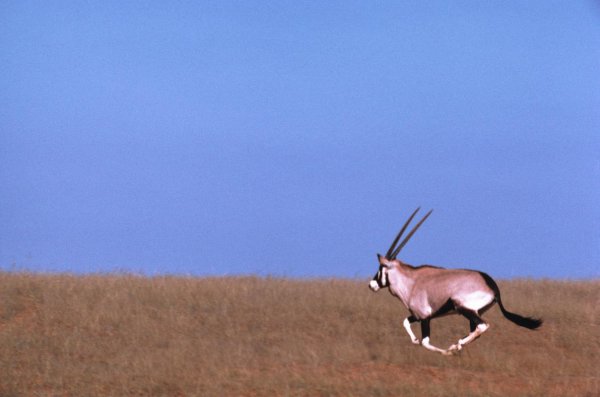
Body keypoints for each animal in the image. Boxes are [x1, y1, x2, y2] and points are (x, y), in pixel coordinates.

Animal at [370, 209, 544, 354]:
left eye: (381, 268)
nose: (371, 285)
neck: (411, 281)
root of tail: (492, 286)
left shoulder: (424, 317)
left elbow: (426, 342)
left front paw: (446, 352)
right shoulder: (417, 316)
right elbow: (405, 322)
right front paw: (415, 340)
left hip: (463, 308)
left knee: (482, 326)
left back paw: (456, 345)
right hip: (475, 312)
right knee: (475, 330)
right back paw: (458, 345)